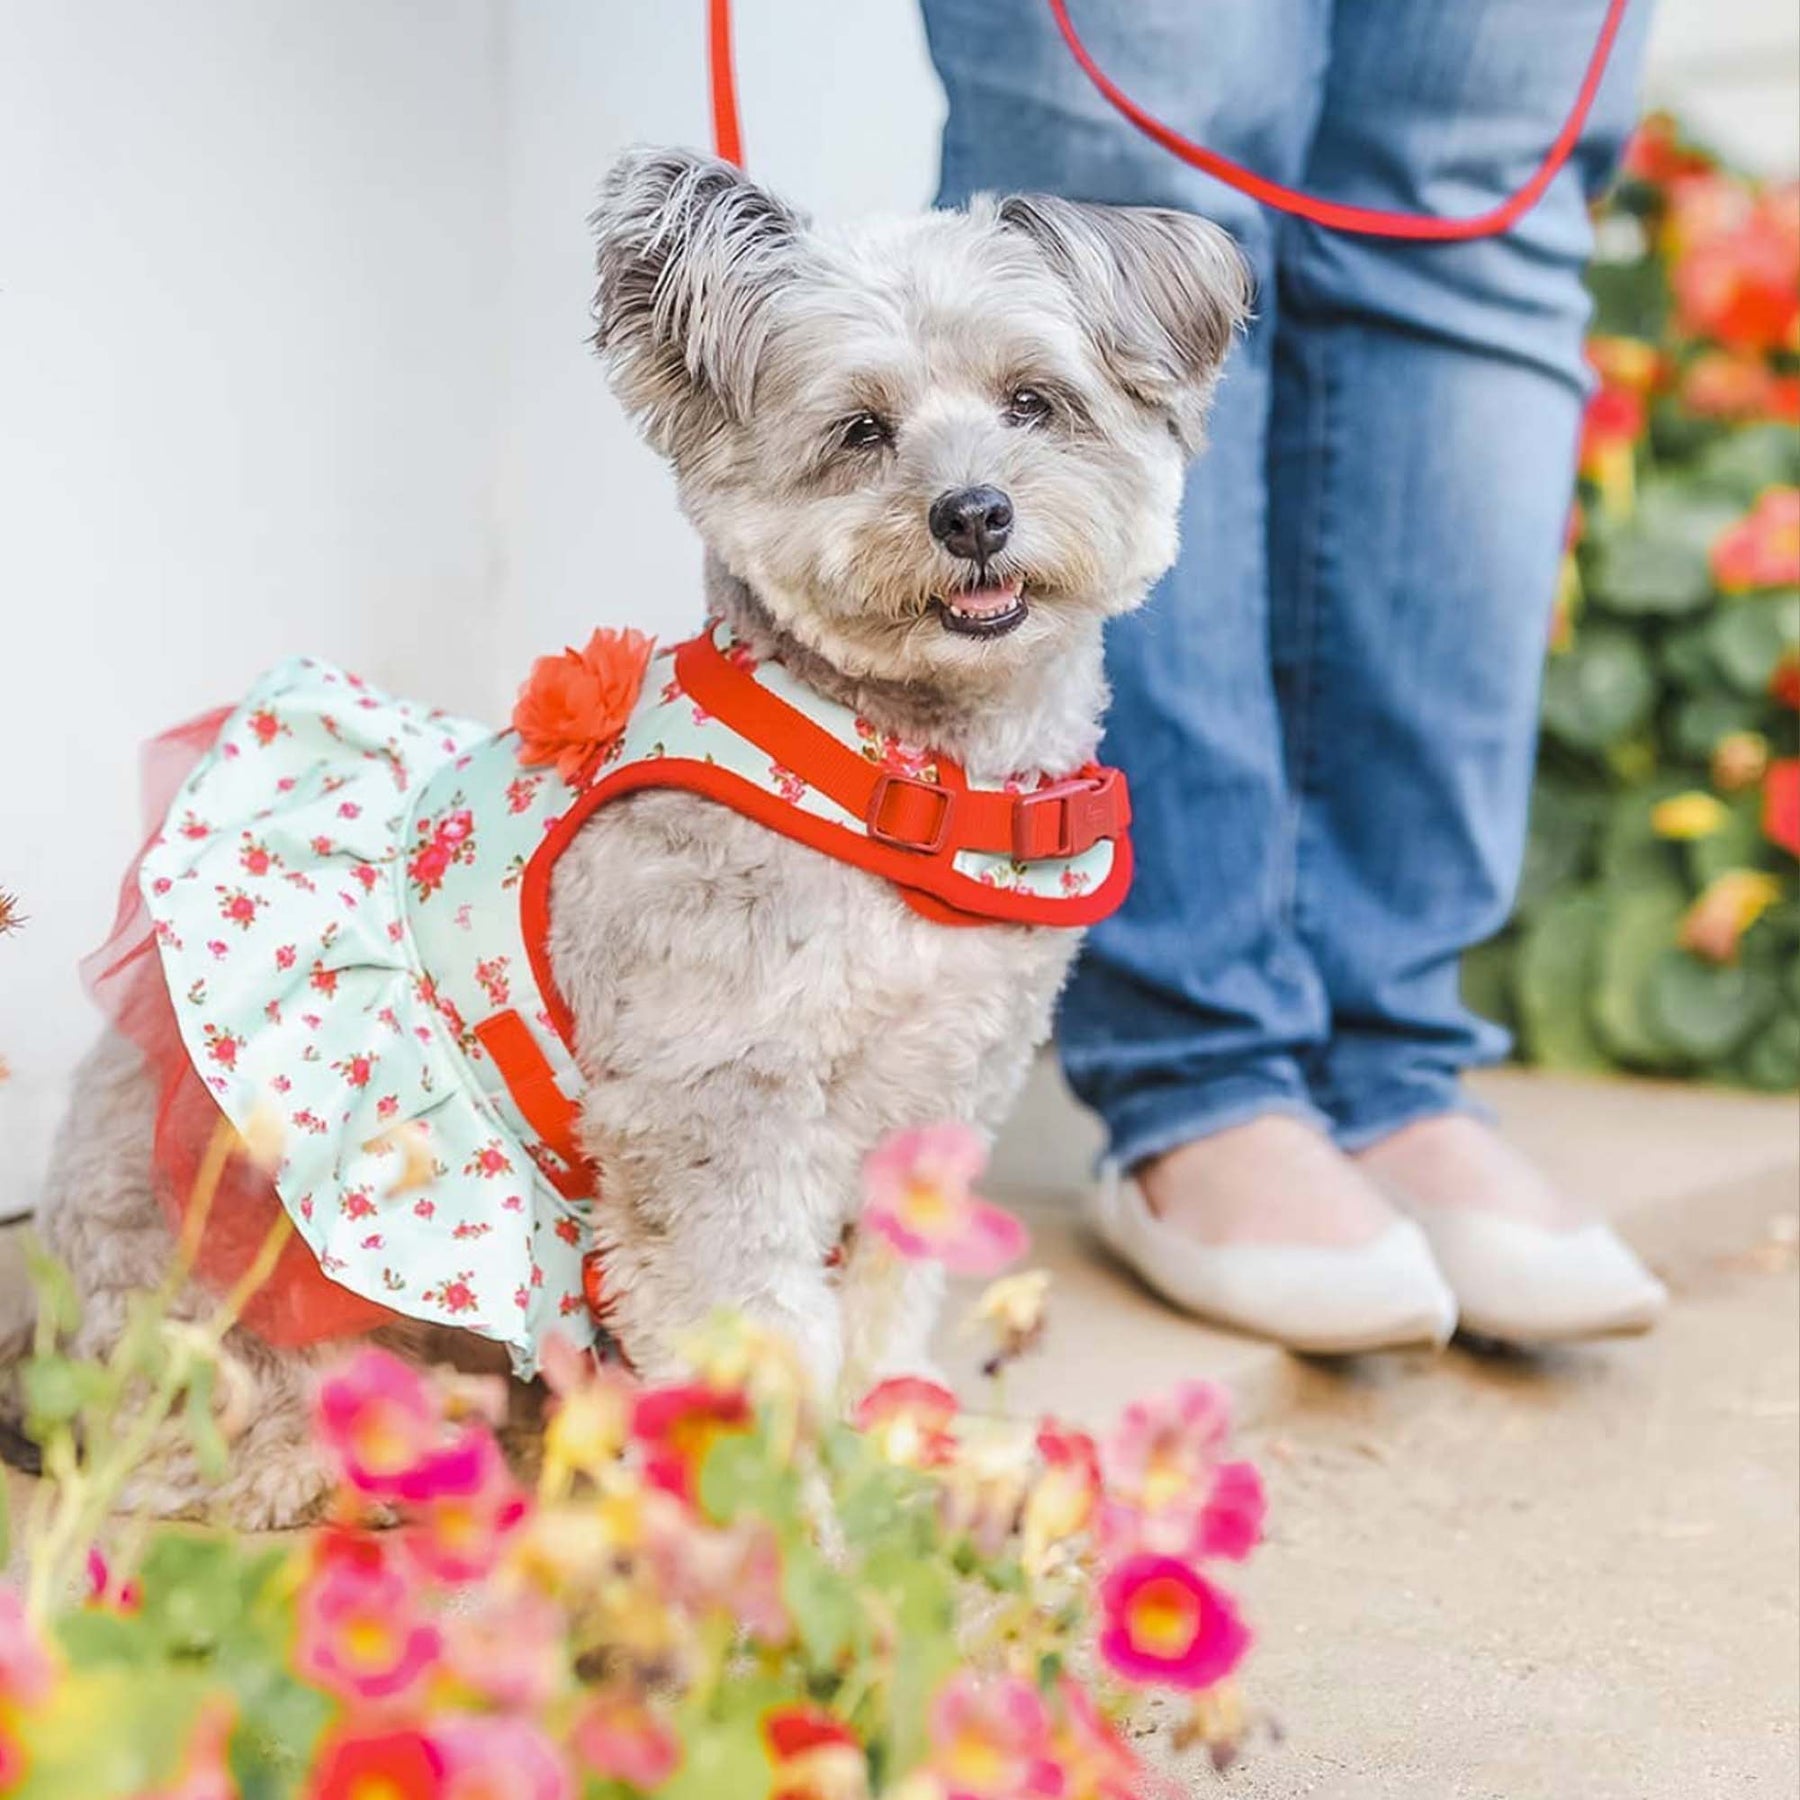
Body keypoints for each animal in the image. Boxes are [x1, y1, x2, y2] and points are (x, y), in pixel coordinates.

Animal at [10, 151, 1252, 1519]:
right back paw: (313, 1456)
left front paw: (888, 1451)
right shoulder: (711, 1108)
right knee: (181, 1406)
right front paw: (786, 1526)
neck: (892, 777)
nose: (972, 513)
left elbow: (882, 1303)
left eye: (1035, 401)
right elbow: (757, 1338)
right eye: (861, 432)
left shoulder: (935, 1109)